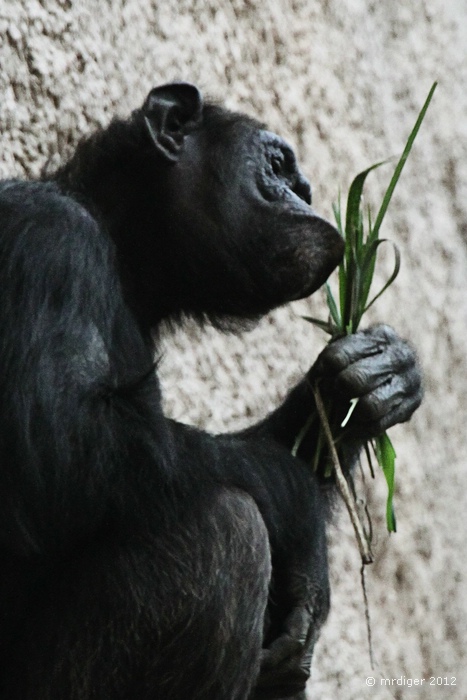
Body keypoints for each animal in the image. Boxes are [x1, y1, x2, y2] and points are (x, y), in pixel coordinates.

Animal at [0, 83, 424, 700]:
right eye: (278, 166)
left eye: (301, 185)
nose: (304, 195)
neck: (126, 248)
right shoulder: (49, 239)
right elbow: (61, 444)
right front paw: (298, 504)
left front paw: (368, 381)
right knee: (226, 527)